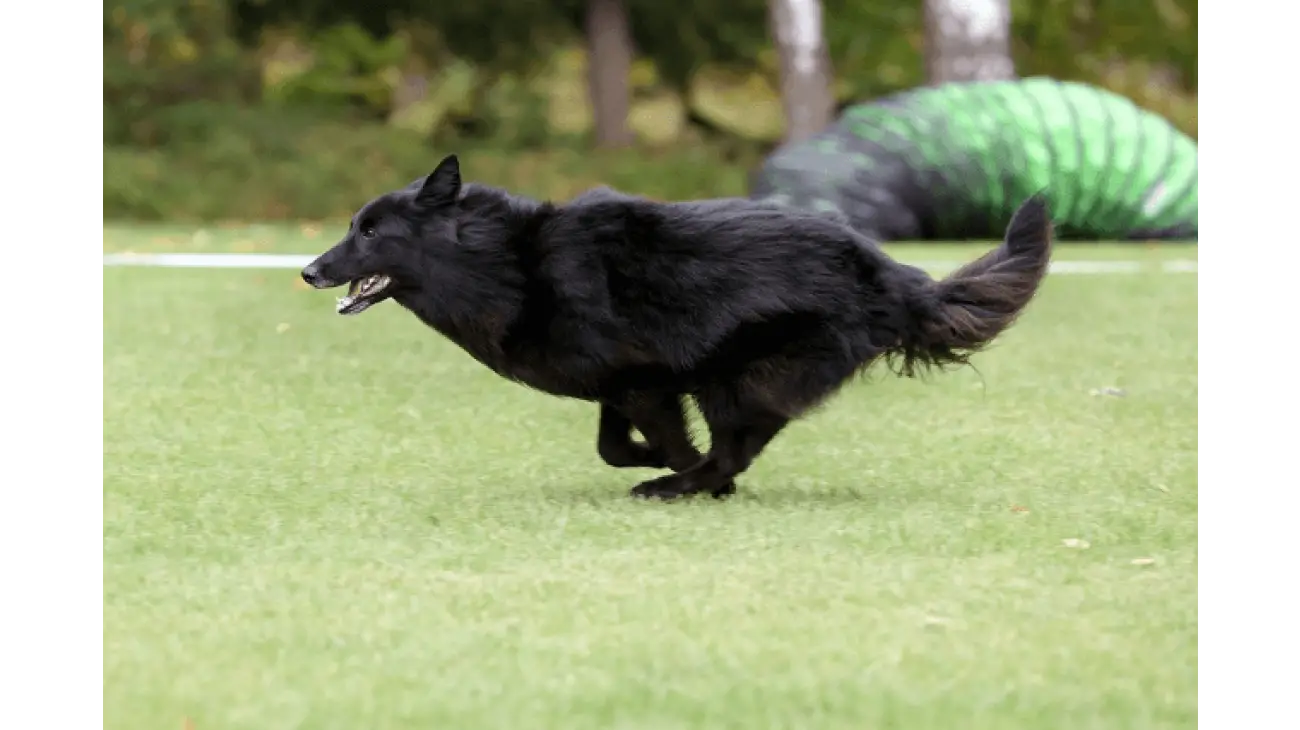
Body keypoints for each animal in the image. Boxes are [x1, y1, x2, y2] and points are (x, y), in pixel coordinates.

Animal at [304, 150, 1055, 496]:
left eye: (370, 233)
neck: (507, 264)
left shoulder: (649, 384)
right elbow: (613, 444)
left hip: (742, 375)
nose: (309, 270)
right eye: (352, 226)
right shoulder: (626, 384)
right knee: (743, 441)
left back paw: (681, 487)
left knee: (737, 444)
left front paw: (680, 471)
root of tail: (890, 273)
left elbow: (663, 443)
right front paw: (656, 461)